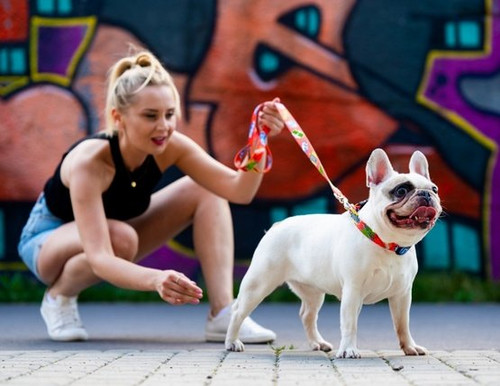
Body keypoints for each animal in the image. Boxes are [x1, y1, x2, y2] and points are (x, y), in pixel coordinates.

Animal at [227, 149, 442, 358]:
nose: (425, 194)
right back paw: (232, 342)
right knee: (237, 311)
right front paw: (348, 350)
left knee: (307, 315)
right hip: (259, 283)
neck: (387, 243)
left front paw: (409, 347)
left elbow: (402, 324)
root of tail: (277, 225)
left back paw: (318, 343)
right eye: (401, 190)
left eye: (434, 189)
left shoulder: (402, 294)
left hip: (312, 291)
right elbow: (349, 324)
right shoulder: (353, 290)